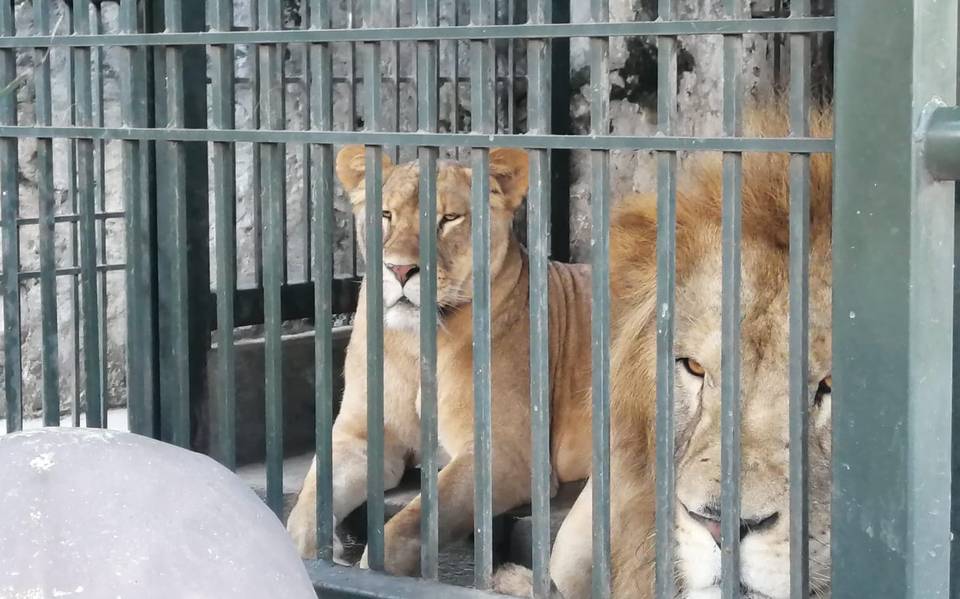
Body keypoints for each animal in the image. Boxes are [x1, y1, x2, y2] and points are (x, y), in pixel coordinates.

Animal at [286, 144, 592, 576]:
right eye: (386, 215)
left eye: (449, 219)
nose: (399, 269)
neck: (417, 345)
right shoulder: (359, 435)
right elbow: (308, 500)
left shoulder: (507, 452)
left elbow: (413, 522)